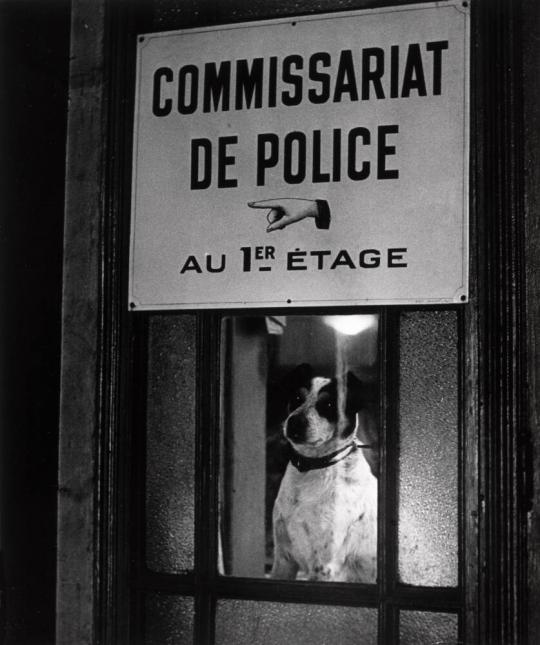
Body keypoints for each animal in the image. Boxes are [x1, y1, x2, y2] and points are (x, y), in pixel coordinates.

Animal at [272, 364, 378, 580]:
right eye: (297, 398)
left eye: (328, 405)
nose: (294, 422)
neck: (311, 469)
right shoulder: (283, 560)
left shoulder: (324, 566)